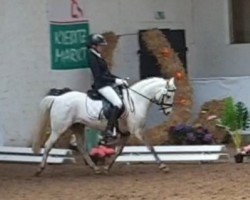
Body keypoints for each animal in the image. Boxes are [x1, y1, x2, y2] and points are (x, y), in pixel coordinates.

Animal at [32, 77, 176, 175]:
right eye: (168, 95)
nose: (168, 112)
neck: (136, 100)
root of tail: (57, 98)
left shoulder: (126, 133)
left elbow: (118, 151)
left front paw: (107, 167)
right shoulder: (137, 131)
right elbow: (150, 147)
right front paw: (163, 166)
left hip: (78, 126)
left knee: (81, 147)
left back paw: (95, 168)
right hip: (59, 128)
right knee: (48, 145)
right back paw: (40, 169)